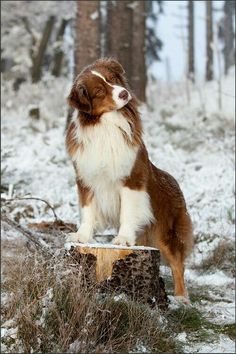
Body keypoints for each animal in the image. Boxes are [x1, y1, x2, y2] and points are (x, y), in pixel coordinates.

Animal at [65, 58, 193, 298]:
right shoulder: (85, 179)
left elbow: (126, 212)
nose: (124, 93)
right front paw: (82, 235)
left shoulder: (131, 180)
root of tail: (173, 181)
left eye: (113, 79)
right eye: (99, 90)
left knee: (177, 263)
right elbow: (87, 211)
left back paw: (182, 299)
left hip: (165, 229)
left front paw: (123, 239)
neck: (105, 124)